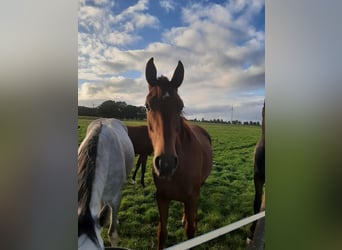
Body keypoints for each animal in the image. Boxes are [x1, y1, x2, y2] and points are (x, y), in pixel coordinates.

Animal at [144, 57, 211, 249]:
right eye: (147, 106)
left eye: (180, 106)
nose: (166, 164)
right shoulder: (162, 198)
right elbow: (162, 233)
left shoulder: (191, 197)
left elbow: (190, 232)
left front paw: (191, 222)